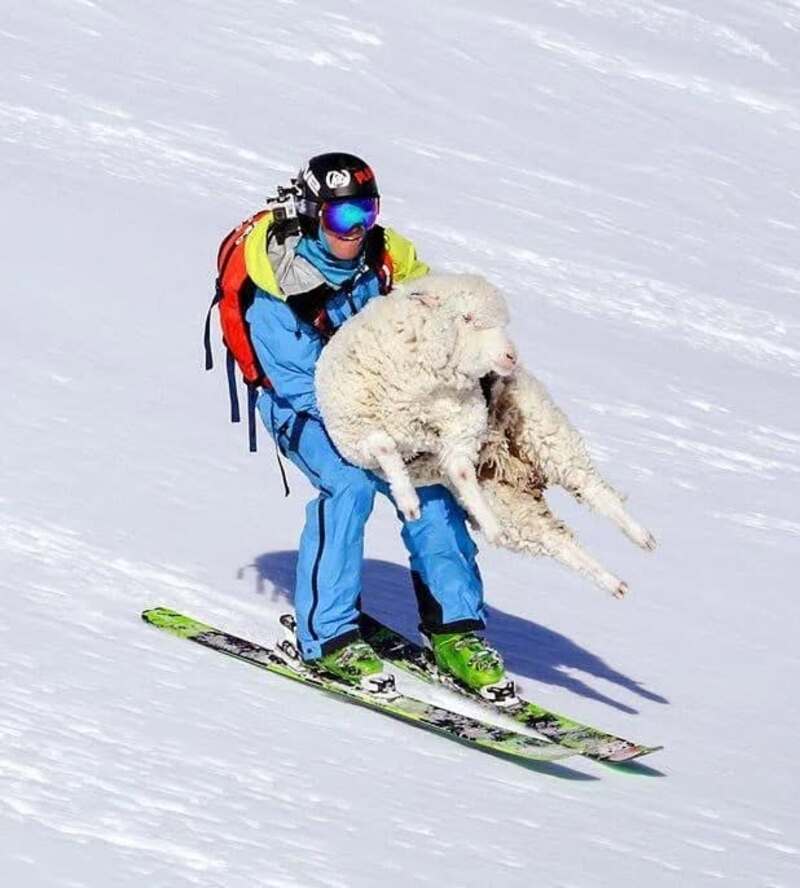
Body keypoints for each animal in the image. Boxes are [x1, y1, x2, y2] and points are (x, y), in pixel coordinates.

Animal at [315, 273, 517, 542]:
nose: (511, 356)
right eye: (467, 318)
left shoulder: (461, 427)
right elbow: (385, 448)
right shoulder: (360, 429)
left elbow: (463, 474)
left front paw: (492, 526)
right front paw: (408, 502)